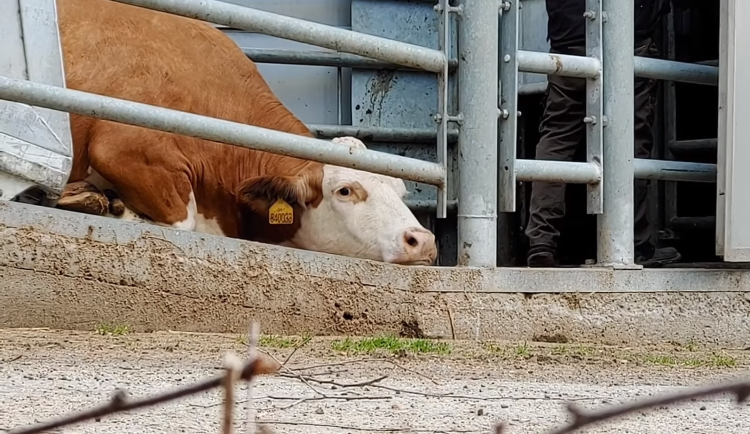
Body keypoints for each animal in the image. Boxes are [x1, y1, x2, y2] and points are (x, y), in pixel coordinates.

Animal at [54, 0, 440, 264]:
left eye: (401, 191)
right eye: (345, 190)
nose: (422, 240)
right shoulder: (122, 147)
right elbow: (183, 222)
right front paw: (114, 208)